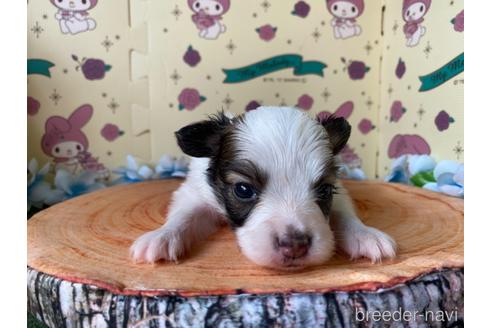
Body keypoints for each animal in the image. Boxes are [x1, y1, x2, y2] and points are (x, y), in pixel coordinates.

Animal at [131, 107, 396, 270]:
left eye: (324, 191)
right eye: (243, 190)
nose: (295, 246)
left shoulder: (340, 193)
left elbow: (345, 214)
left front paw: (366, 235)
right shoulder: (195, 193)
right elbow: (184, 215)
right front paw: (161, 236)